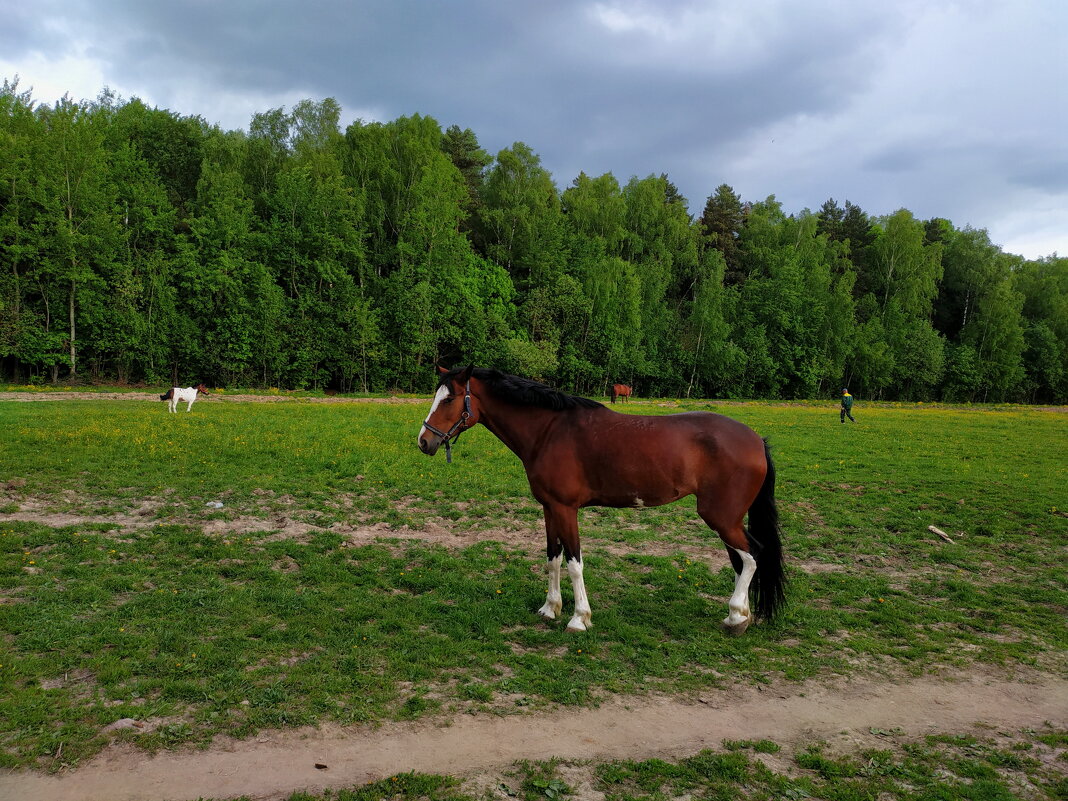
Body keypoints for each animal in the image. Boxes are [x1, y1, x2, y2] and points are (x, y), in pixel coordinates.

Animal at [416, 367, 786, 636]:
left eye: (449, 399)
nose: (423, 442)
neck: (549, 431)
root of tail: (756, 439)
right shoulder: (550, 509)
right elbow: (552, 558)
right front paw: (550, 609)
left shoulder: (566, 510)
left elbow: (574, 563)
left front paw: (579, 618)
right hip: (727, 519)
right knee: (741, 560)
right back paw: (739, 614)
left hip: (721, 517)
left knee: (752, 555)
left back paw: (736, 619)